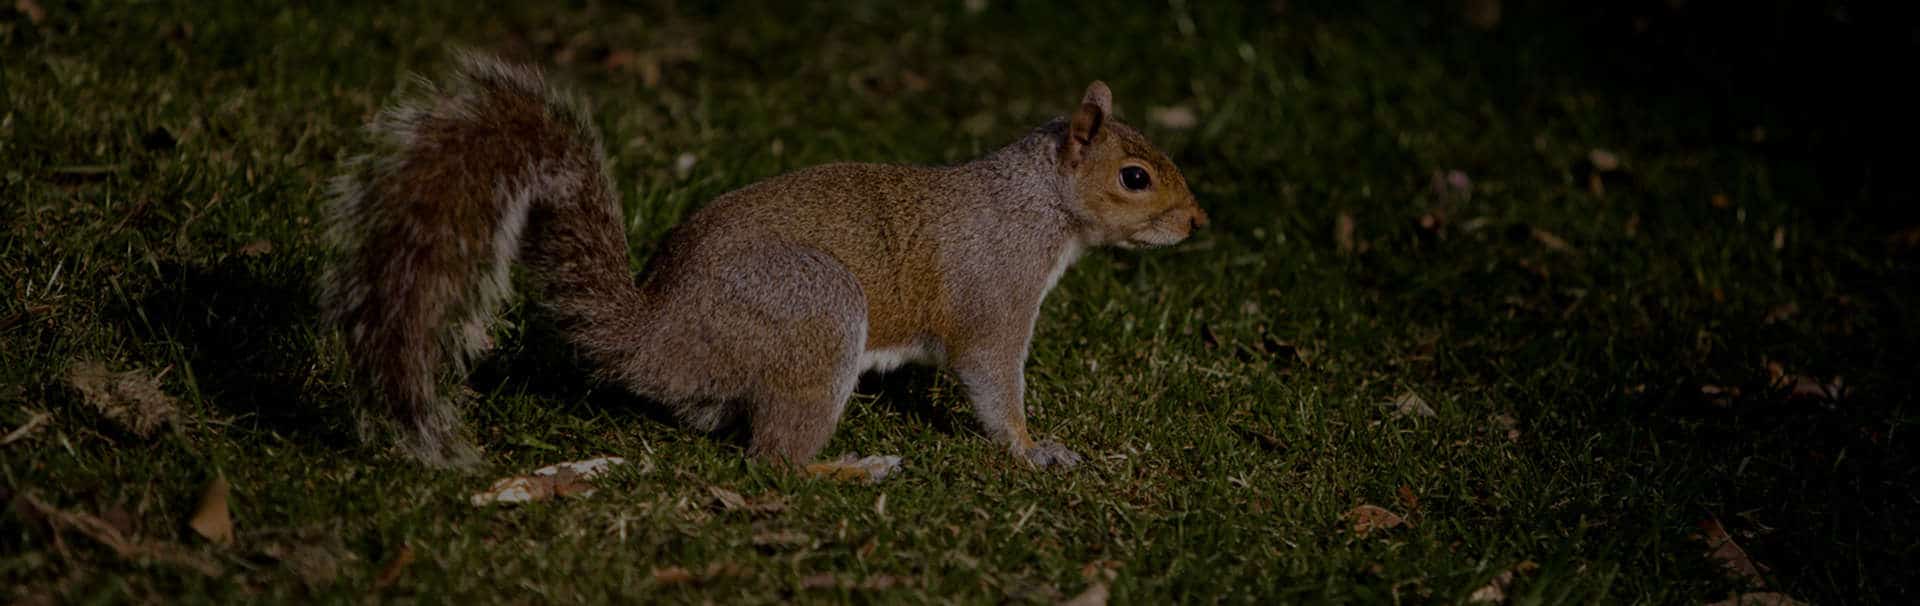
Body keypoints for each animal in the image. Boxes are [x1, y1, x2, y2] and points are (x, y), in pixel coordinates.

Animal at [321, 52, 1206, 470]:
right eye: (1134, 177)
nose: (1198, 222)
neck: (1037, 204)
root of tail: (653, 337)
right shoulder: (995, 298)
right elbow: (992, 383)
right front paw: (1032, 450)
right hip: (816, 309)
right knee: (772, 462)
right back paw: (848, 468)